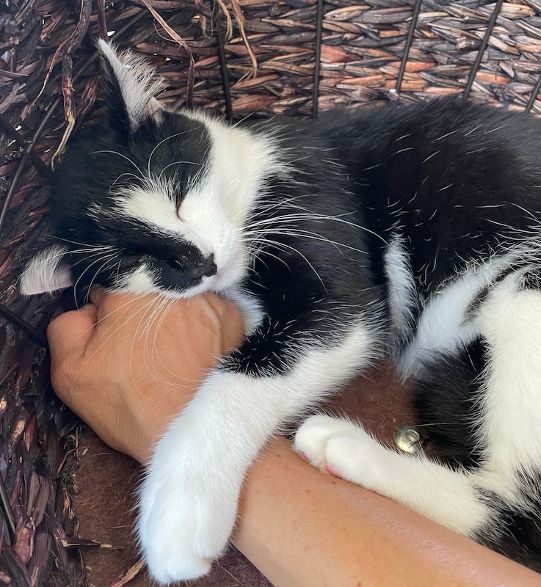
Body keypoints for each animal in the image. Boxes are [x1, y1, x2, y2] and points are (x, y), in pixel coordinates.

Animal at [21, 41, 541, 582]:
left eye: (178, 191)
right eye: (130, 260)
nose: (200, 262)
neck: (254, 176)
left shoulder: (331, 241)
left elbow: (254, 372)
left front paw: (181, 505)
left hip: (525, 289)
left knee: (514, 513)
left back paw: (345, 447)